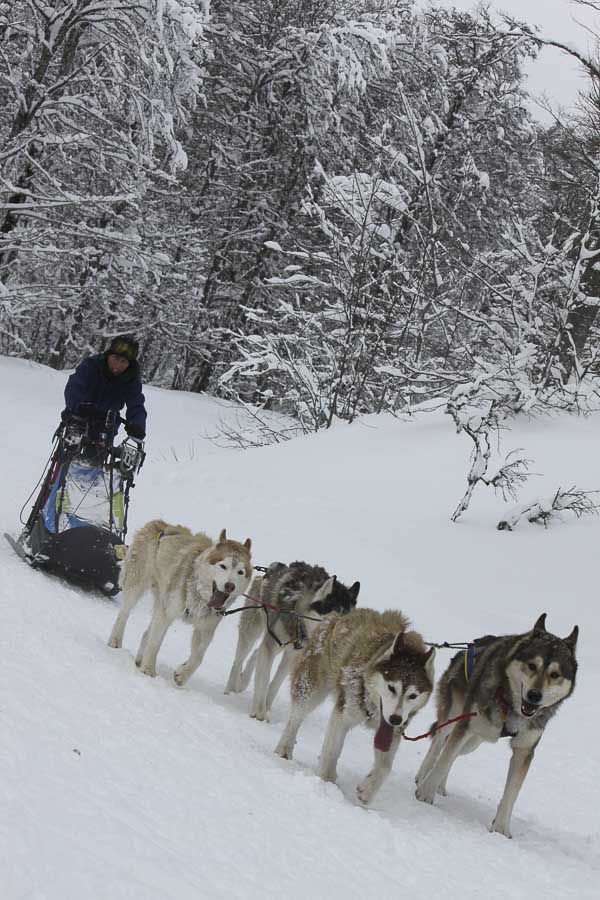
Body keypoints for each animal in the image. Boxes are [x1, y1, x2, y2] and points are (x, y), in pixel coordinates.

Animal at [109, 520, 252, 684]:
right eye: (223, 566)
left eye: (240, 572)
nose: (230, 585)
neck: (199, 594)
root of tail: (160, 523)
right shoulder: (166, 615)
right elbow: (155, 643)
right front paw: (148, 670)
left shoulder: (205, 629)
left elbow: (198, 657)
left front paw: (182, 675)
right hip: (136, 586)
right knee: (124, 615)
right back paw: (115, 641)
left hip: (161, 601)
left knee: (146, 633)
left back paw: (139, 660)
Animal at [223, 564, 358, 724]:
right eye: (336, 615)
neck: (299, 620)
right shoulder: (271, 647)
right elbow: (264, 680)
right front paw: (258, 711)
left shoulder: (291, 657)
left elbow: (275, 684)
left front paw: (267, 710)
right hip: (251, 632)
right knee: (238, 661)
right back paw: (231, 689)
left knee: (256, 653)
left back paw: (244, 681)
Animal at [274, 608, 434, 804]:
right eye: (391, 688)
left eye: (413, 695)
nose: (395, 719)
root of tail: (340, 616)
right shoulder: (342, 714)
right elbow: (331, 752)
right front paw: (324, 785)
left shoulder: (393, 732)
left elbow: (384, 768)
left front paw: (367, 790)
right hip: (311, 689)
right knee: (295, 718)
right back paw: (284, 748)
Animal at [414, 616, 580, 840]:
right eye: (532, 665)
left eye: (555, 674)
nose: (534, 695)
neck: (510, 707)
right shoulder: (465, 725)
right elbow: (443, 760)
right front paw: (425, 794)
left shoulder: (524, 750)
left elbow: (511, 794)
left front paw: (500, 829)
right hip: (455, 717)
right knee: (438, 744)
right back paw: (423, 776)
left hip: (474, 742)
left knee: (452, 751)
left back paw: (440, 785)